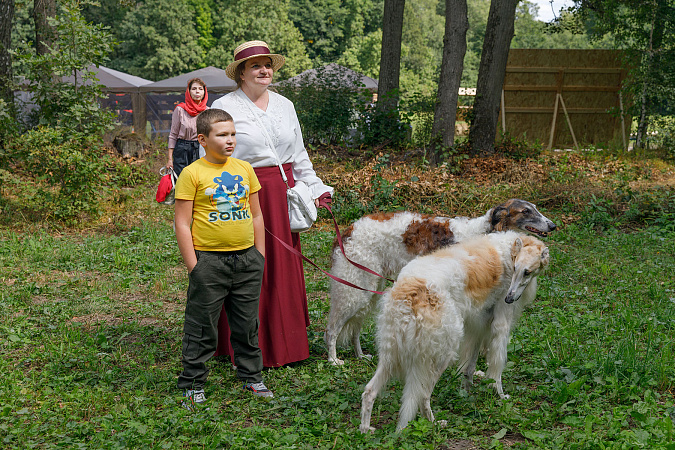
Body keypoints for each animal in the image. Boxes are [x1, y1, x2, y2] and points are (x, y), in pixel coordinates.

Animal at [326, 200, 556, 366]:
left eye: (536, 208)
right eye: (526, 211)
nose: (553, 225)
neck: (487, 232)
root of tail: (348, 230)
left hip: (369, 288)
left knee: (355, 328)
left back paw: (360, 355)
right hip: (354, 289)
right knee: (332, 329)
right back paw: (334, 360)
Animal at [360, 232, 548, 432]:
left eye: (527, 272)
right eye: (515, 268)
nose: (509, 298)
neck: (510, 248)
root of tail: (411, 291)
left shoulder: (478, 327)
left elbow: (469, 367)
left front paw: (467, 391)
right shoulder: (500, 325)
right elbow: (496, 368)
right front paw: (499, 395)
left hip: (391, 353)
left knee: (369, 391)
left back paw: (365, 428)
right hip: (442, 352)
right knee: (423, 396)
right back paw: (434, 423)